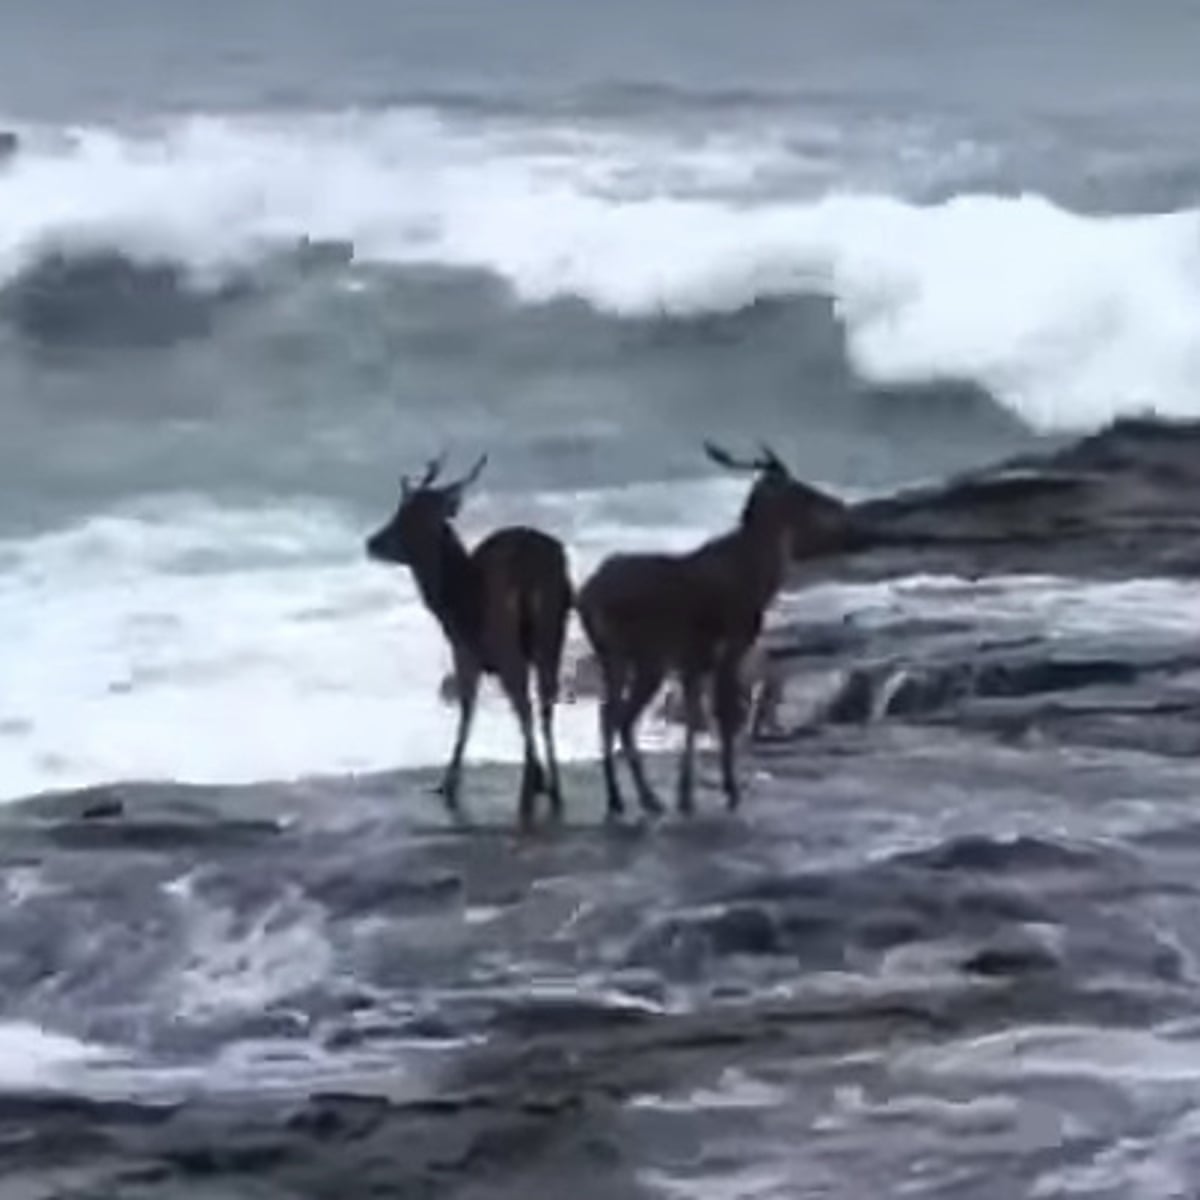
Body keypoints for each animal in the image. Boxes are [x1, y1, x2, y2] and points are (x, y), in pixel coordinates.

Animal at [365, 454, 572, 827]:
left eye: (408, 517)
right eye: (399, 510)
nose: (372, 542)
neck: (453, 605)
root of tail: (533, 569)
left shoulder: (465, 651)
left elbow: (467, 710)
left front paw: (447, 782)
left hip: (507, 640)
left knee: (525, 704)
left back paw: (531, 784)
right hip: (553, 631)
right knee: (546, 702)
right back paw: (553, 786)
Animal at [576, 443, 853, 818]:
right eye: (797, 489)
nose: (838, 505)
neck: (755, 580)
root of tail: (584, 596)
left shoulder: (694, 662)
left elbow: (697, 719)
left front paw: (687, 795)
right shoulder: (729, 648)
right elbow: (723, 718)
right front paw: (728, 791)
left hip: (613, 656)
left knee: (607, 714)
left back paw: (620, 799)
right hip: (647, 655)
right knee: (622, 718)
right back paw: (647, 799)